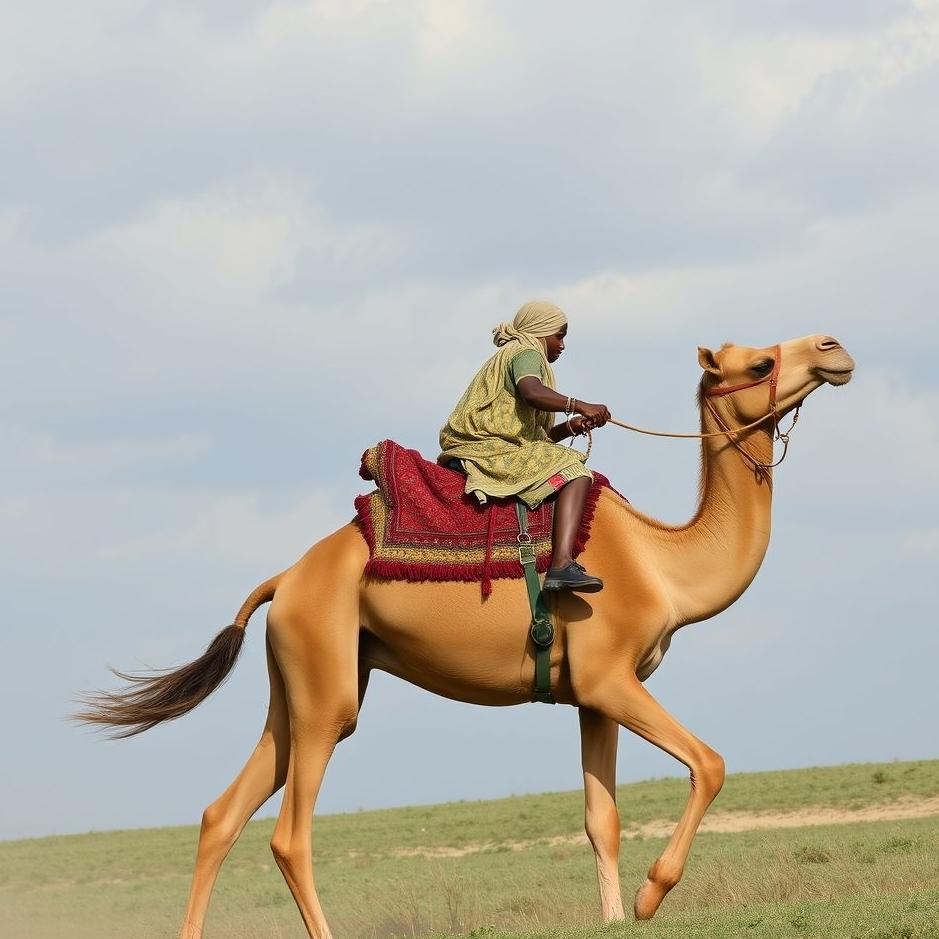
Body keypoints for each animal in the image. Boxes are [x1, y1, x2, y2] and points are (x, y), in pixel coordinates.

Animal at [77, 333, 854, 939]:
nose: (833, 349)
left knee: (223, 811)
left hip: (298, 679)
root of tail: (283, 579)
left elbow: (600, 817)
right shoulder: (610, 676)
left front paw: (612, 913)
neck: (661, 564)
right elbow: (710, 763)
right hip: (326, 685)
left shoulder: (592, 695)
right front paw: (646, 897)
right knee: (289, 833)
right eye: (759, 362)